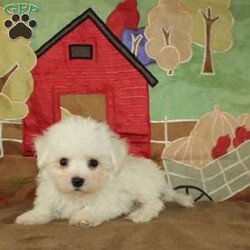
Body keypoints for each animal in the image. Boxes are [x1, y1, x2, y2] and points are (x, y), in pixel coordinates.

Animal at [15, 115, 193, 227]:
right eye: (63, 162)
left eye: (93, 163)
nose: (77, 180)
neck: (77, 195)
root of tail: (161, 180)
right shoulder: (50, 196)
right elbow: (44, 208)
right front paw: (30, 216)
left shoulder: (111, 200)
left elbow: (94, 207)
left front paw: (83, 217)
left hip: (144, 186)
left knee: (155, 203)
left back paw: (141, 213)